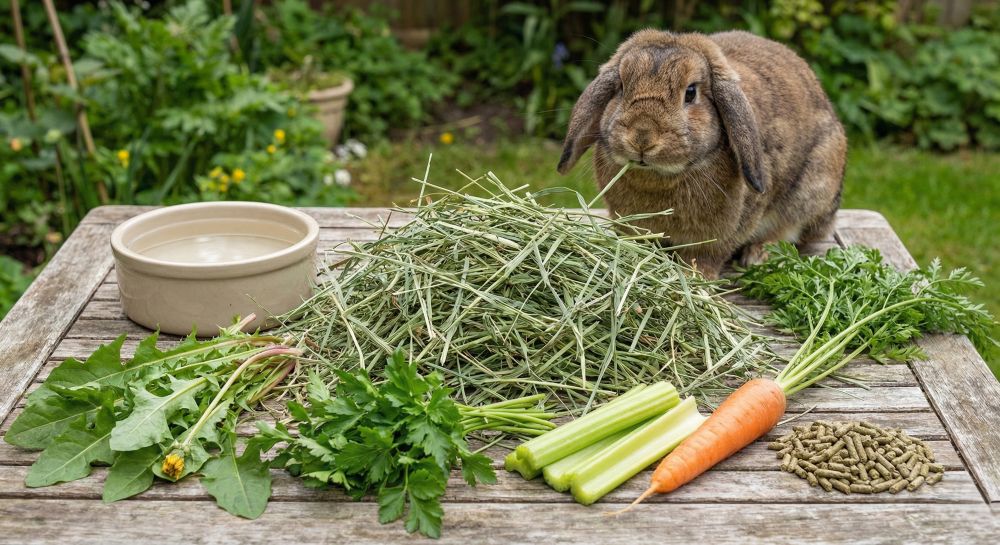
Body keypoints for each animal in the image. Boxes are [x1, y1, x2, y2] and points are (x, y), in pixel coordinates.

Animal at [557, 30, 846, 279]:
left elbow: (706, 255)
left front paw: (696, 277)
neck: (658, 178)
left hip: (811, 191)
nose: (642, 137)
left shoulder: (719, 235)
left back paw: (757, 255)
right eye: (621, 88)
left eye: (691, 92)